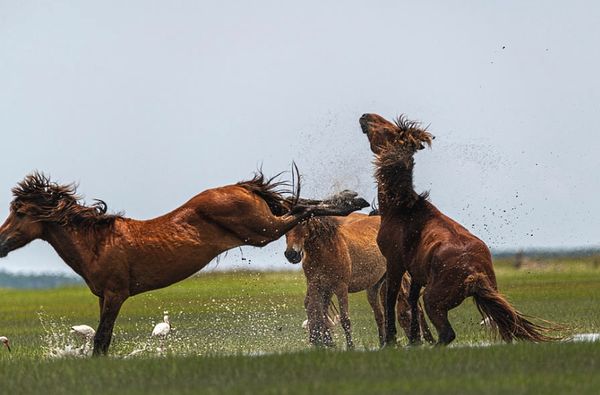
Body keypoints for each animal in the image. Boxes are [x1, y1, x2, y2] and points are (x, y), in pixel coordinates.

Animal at [0, 171, 370, 356]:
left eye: (21, 213)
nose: (1, 243)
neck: (98, 243)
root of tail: (241, 187)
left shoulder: (115, 295)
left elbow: (101, 341)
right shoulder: (105, 298)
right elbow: (101, 340)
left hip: (263, 230)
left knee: (301, 209)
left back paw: (352, 202)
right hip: (262, 227)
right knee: (297, 203)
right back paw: (352, 199)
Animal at [284, 212, 434, 348]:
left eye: (303, 223)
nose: (291, 254)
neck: (326, 249)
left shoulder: (340, 287)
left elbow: (344, 319)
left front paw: (349, 346)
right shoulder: (316, 285)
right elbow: (316, 313)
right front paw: (320, 343)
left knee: (381, 313)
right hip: (372, 286)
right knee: (379, 314)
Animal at [358, 113, 556, 346]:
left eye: (387, 128)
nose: (365, 116)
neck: (401, 208)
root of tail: (474, 274)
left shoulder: (394, 261)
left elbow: (391, 299)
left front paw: (390, 341)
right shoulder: (416, 272)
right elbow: (412, 301)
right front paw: (414, 340)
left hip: (433, 300)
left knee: (448, 333)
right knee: (505, 329)